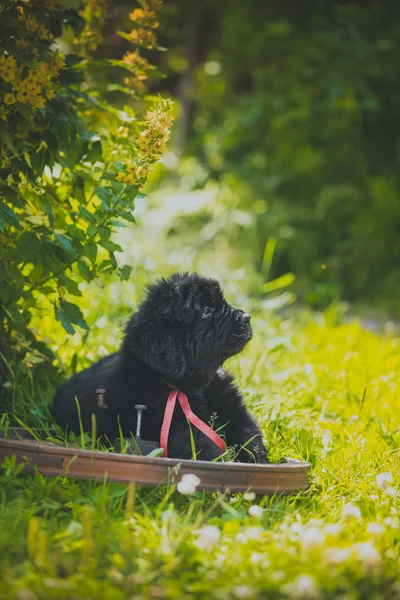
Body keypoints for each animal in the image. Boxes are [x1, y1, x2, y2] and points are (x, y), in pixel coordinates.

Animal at [50, 274, 268, 464]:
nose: (247, 317)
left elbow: (249, 436)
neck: (194, 386)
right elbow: (203, 448)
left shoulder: (233, 410)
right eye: (207, 310)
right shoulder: (180, 426)